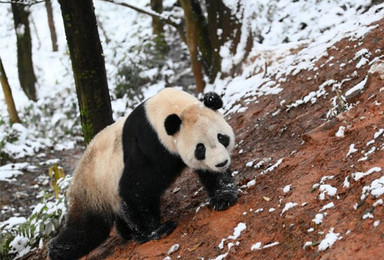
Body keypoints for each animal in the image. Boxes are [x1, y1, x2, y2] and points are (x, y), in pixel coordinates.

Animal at [48, 88, 237, 260]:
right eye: (200, 148)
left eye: (221, 138)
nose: (221, 163)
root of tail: (76, 175)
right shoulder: (148, 146)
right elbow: (135, 189)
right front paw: (156, 231)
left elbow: (212, 175)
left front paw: (224, 197)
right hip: (94, 187)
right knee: (88, 227)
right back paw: (56, 251)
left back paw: (127, 232)